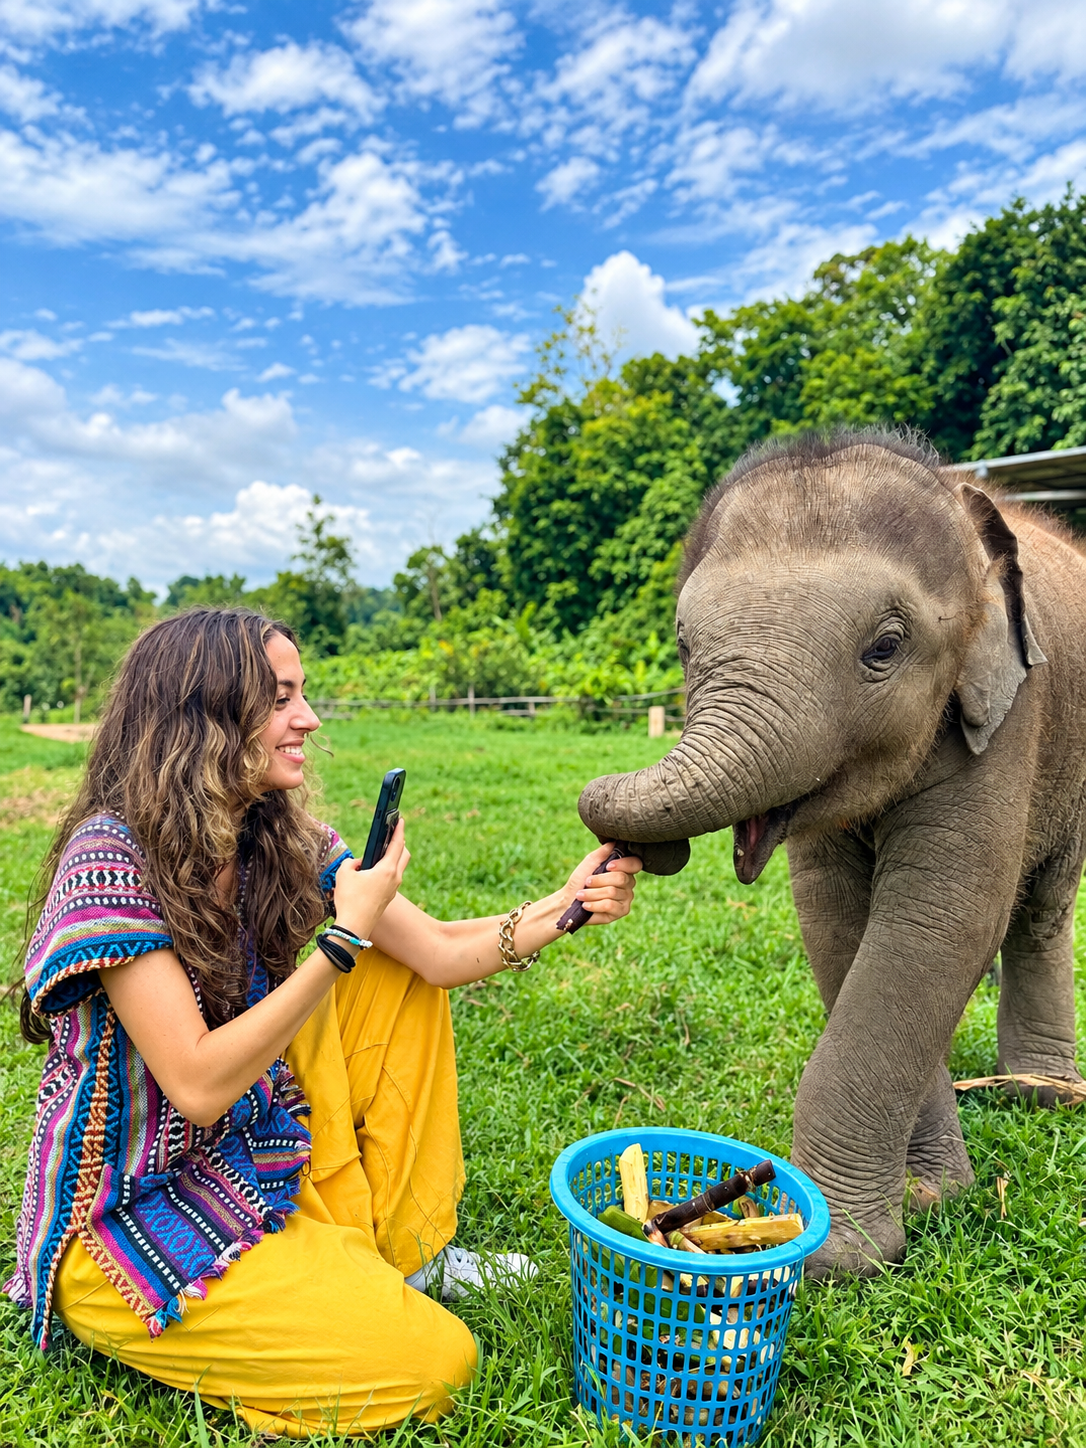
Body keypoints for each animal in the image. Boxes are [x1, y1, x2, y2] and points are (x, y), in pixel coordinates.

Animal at [578, 429, 1086, 1279]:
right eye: (683, 646)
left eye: (885, 648)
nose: (640, 852)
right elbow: (837, 923)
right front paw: (930, 1194)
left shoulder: (1005, 716)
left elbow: (940, 920)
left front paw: (845, 1253)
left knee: (1042, 909)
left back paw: (1041, 1096)